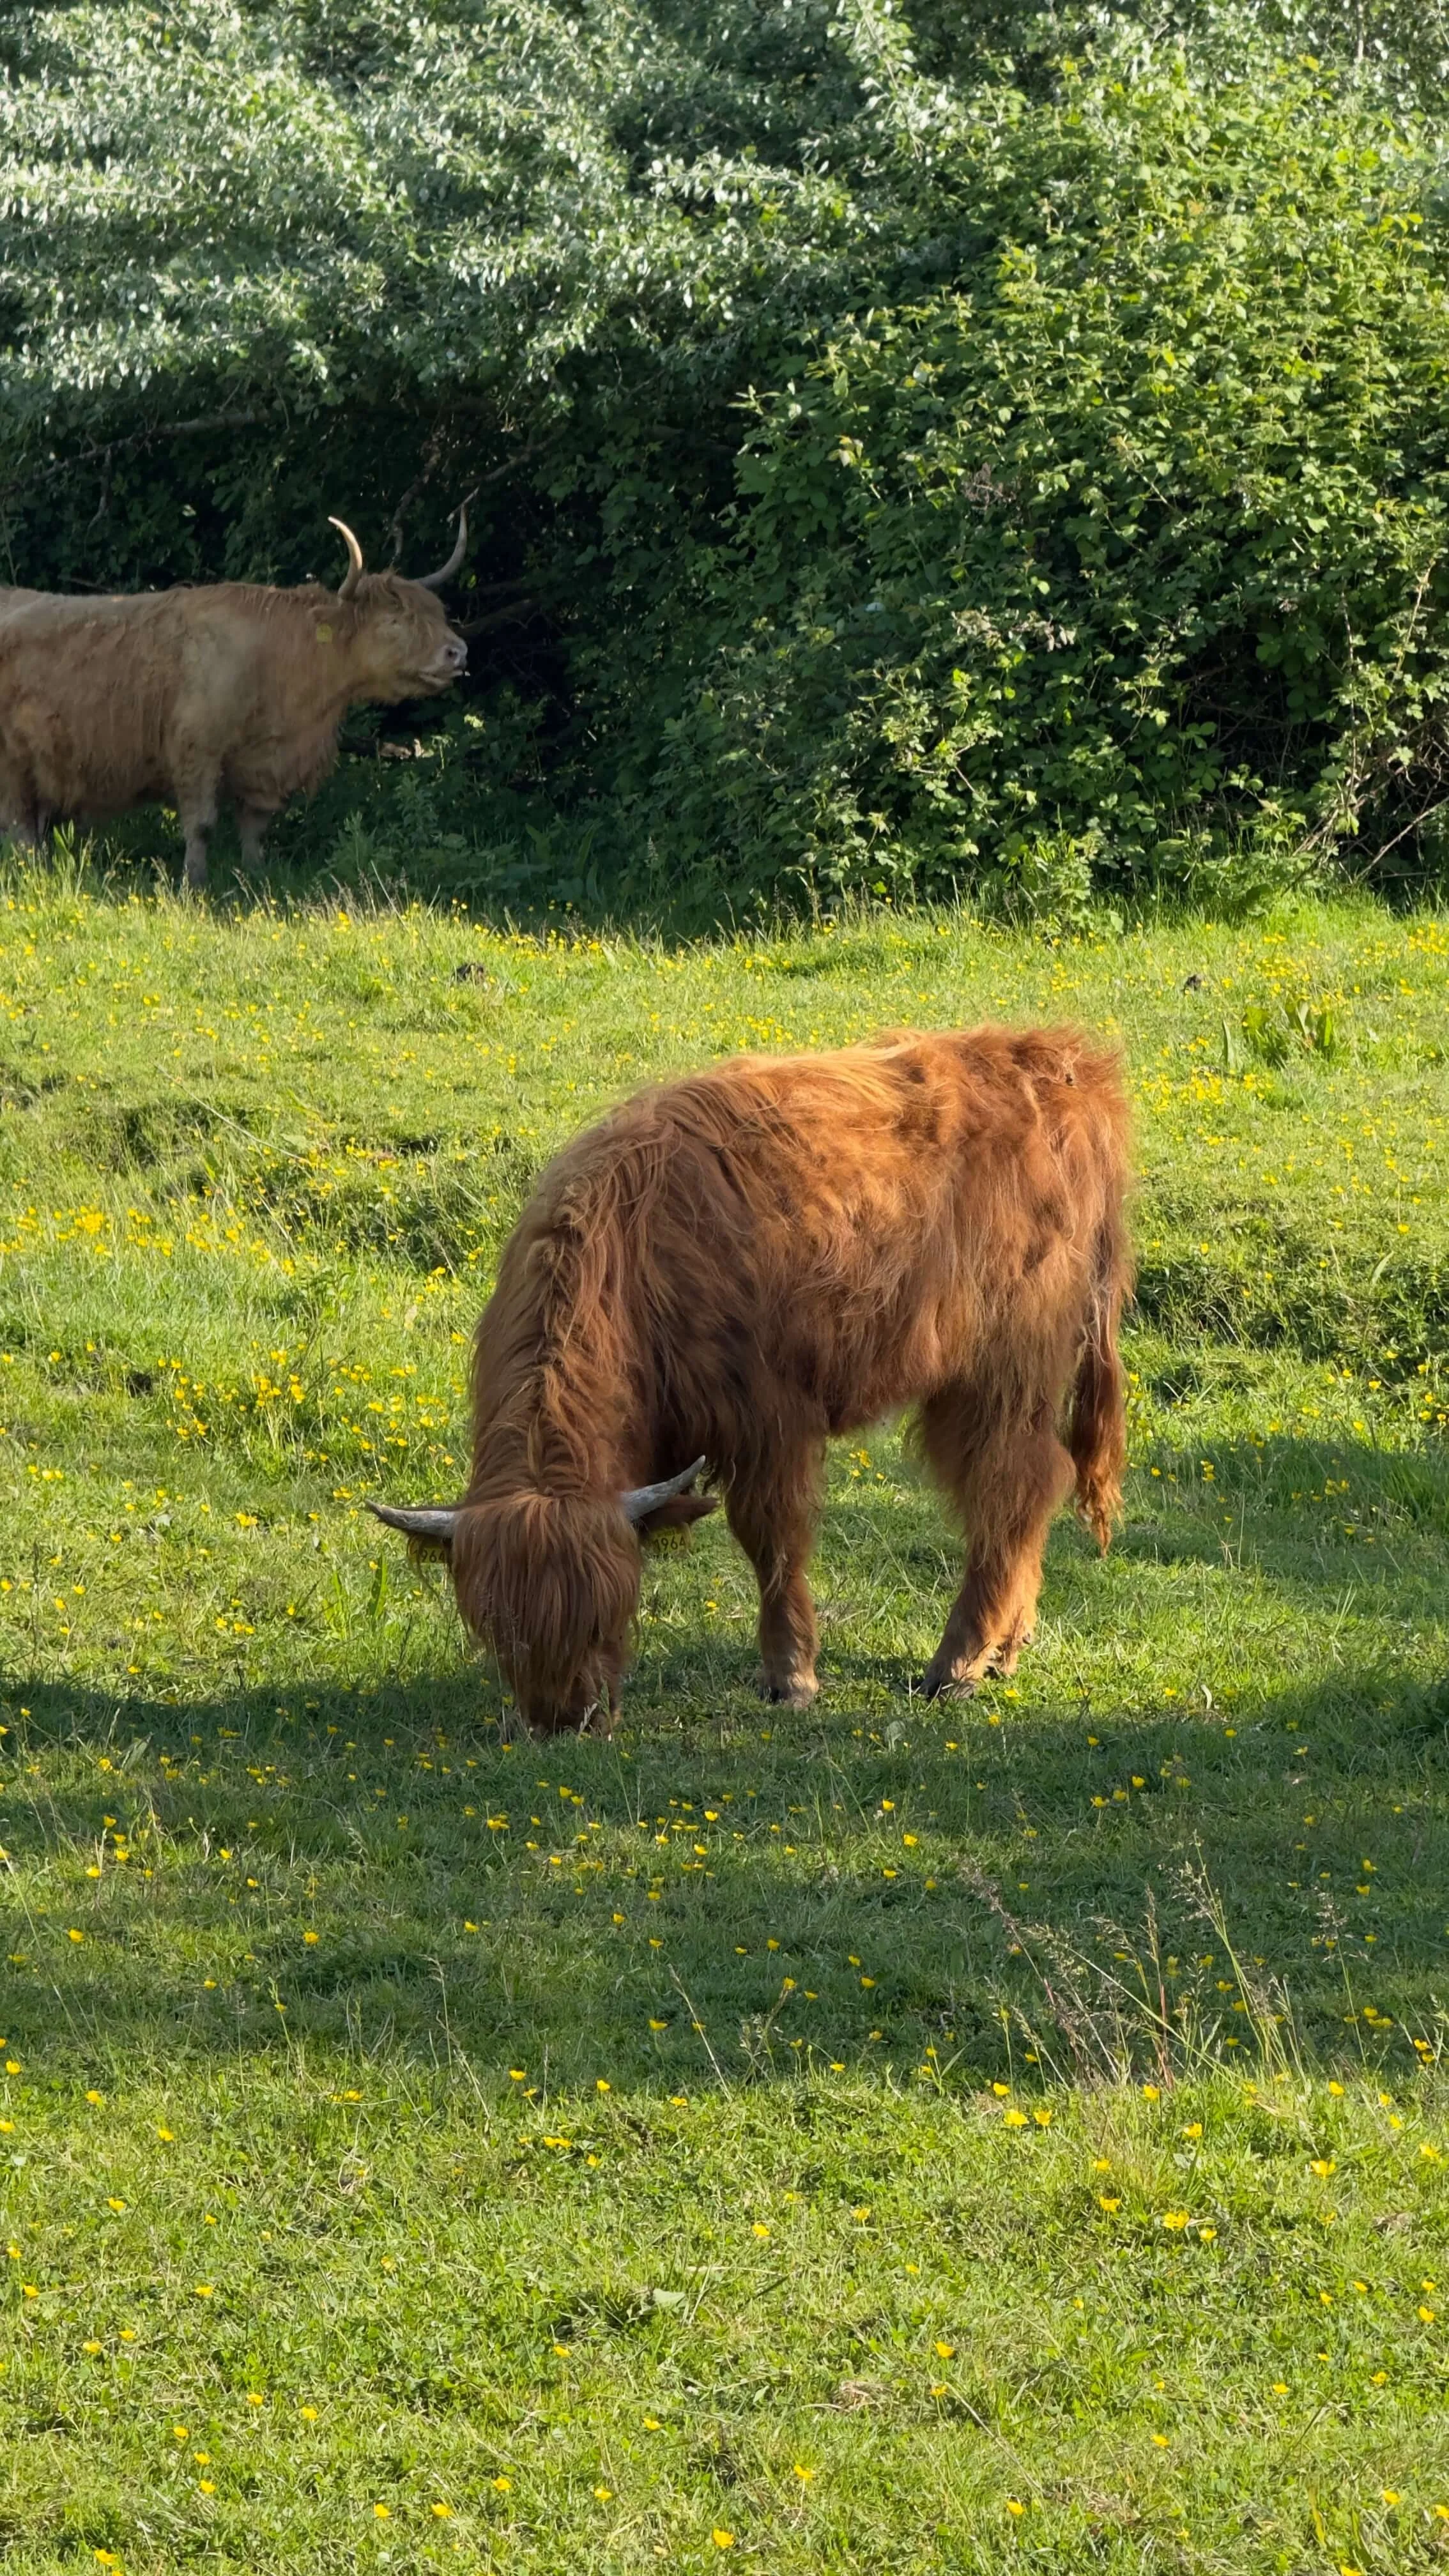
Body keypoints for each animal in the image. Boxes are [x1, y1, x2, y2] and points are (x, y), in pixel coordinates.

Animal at [0, 513, 469, 887]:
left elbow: (255, 825)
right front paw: (195, 881)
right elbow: (202, 824)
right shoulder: (197, 750)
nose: (458, 652)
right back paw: (30, 875)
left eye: (438, 613)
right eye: (394, 621)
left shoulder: (265, 765)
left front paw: (256, 874)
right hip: (15, 762)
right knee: (21, 823)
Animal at [370, 1025, 1132, 1733]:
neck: (630, 1262)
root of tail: (1058, 1063)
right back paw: (1008, 1646)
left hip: (1004, 1366)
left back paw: (960, 1664)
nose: (565, 1721)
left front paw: (791, 1675)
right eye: (497, 1629)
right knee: (1028, 1488)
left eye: (607, 1615)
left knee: (1011, 1488)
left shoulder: (768, 1415)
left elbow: (773, 1538)